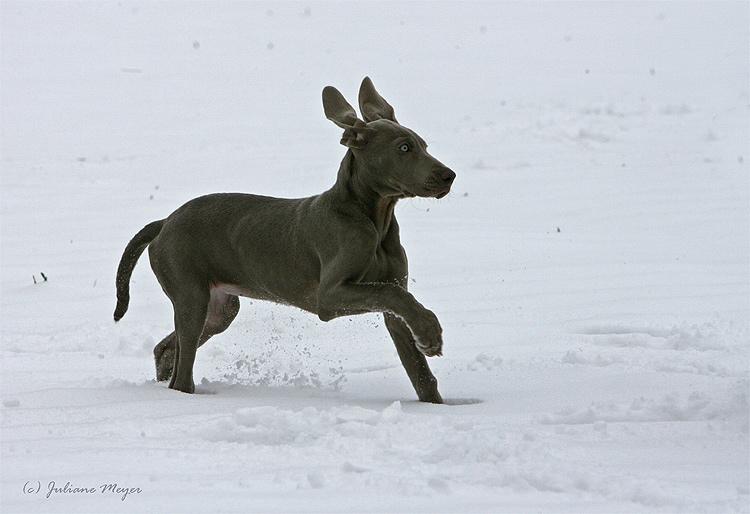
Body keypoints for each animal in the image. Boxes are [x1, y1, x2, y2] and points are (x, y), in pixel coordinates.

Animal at [116, 78, 458, 402]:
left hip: (218, 309)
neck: (373, 219)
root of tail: (165, 222)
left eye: (424, 145)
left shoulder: (393, 309)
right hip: (191, 295)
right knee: (182, 374)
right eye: (404, 148)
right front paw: (430, 332)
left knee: (167, 349)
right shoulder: (329, 297)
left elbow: (420, 373)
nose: (449, 176)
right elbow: (392, 294)